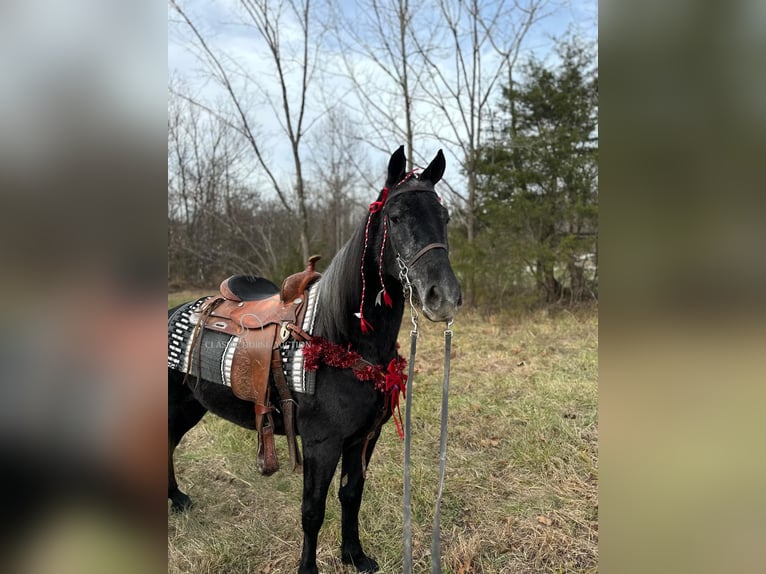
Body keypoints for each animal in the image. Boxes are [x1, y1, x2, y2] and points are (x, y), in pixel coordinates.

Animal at [170, 148, 462, 574]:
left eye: (445, 217)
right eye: (395, 217)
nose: (444, 297)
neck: (342, 341)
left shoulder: (363, 437)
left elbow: (351, 495)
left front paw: (354, 555)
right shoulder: (321, 444)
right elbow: (313, 511)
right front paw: (309, 568)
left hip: (191, 407)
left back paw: (177, 500)